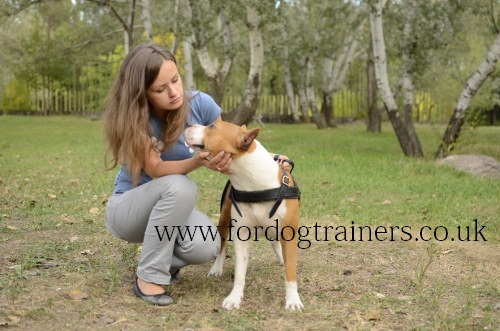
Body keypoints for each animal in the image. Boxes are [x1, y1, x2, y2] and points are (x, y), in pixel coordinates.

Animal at [184, 120, 300, 312]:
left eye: (212, 127)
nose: (189, 124)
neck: (255, 184)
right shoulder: (242, 235)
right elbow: (239, 272)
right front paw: (234, 297)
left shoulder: (288, 232)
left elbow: (291, 270)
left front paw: (293, 300)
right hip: (224, 220)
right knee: (222, 247)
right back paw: (216, 268)